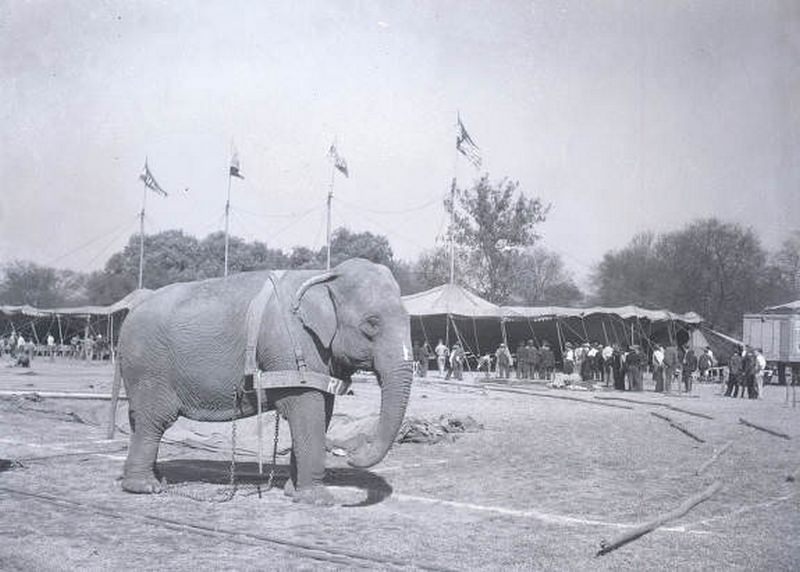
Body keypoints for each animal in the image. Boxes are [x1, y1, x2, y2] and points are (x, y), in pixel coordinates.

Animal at [117, 260, 412, 504]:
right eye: (371, 324)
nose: (350, 455)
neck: (324, 275)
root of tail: (131, 312)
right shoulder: (291, 348)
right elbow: (308, 411)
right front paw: (319, 500)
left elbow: (323, 411)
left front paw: (294, 492)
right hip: (149, 368)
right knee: (154, 421)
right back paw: (145, 487)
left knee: (139, 421)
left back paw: (159, 480)